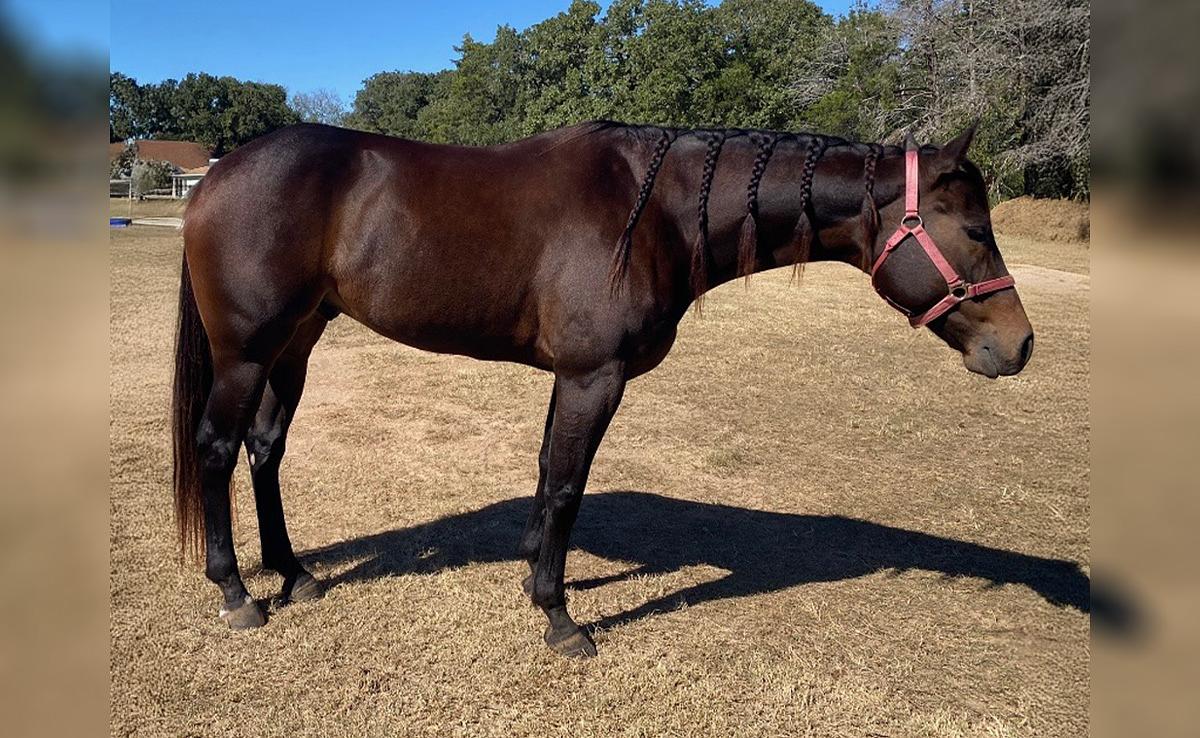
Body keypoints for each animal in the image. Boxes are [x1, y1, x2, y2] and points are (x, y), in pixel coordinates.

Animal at [172, 120, 1034, 657]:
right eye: (975, 230)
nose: (1019, 345)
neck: (654, 212)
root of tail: (217, 175)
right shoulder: (596, 376)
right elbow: (567, 486)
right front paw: (559, 617)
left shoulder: (573, 376)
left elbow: (548, 474)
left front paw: (531, 575)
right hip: (246, 352)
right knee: (216, 448)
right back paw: (236, 592)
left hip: (296, 342)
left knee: (265, 450)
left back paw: (295, 575)